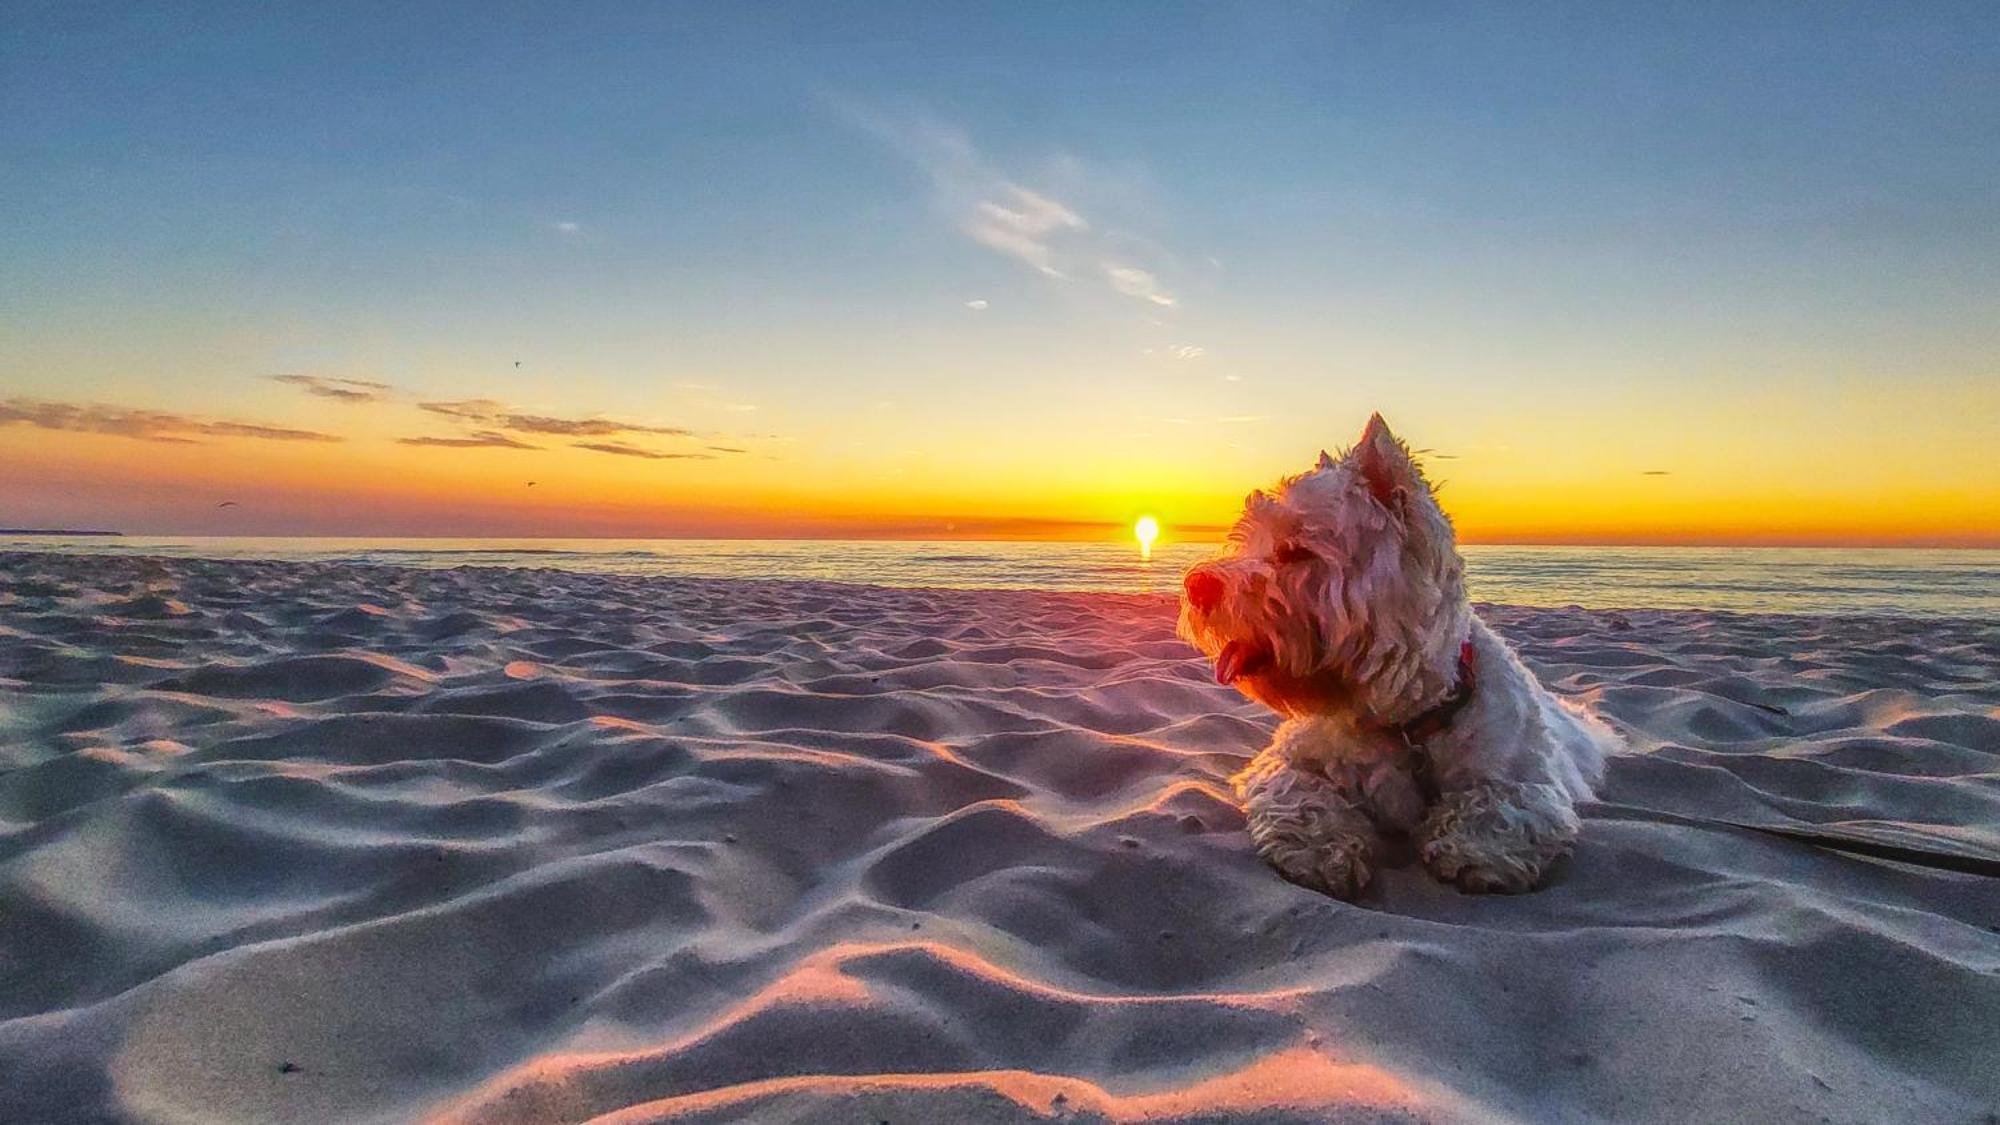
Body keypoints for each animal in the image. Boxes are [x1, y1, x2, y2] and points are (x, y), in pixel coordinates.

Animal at [1176, 412, 1616, 892]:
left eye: (1296, 550)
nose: (1196, 584)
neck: (1406, 719)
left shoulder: (1529, 780)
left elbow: (1499, 807)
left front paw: (1472, 850)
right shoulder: (1287, 759)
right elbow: (1303, 794)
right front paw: (1319, 849)